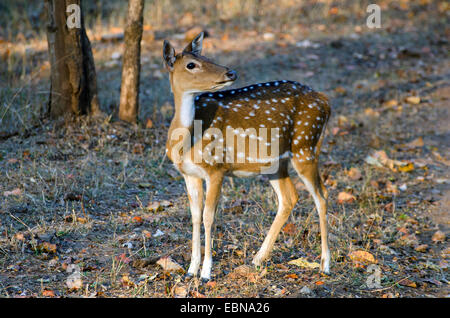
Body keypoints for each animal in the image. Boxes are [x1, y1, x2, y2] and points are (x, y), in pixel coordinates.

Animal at [162, 33, 330, 280]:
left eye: (206, 57)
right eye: (192, 64)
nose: (230, 73)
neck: (186, 140)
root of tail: (325, 101)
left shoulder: (217, 167)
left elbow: (209, 216)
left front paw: (206, 272)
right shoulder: (189, 174)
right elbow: (194, 216)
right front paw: (191, 270)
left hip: (305, 145)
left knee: (321, 195)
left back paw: (325, 264)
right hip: (276, 163)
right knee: (290, 197)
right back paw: (258, 258)